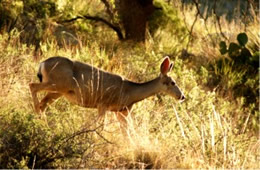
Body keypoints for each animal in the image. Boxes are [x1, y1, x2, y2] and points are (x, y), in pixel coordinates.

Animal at [29, 56, 185, 127]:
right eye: (173, 82)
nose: (182, 96)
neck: (131, 92)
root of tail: (42, 63)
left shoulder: (121, 112)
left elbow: (128, 134)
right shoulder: (103, 104)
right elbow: (99, 126)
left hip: (59, 91)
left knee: (43, 103)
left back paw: (42, 122)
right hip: (58, 84)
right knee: (32, 86)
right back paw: (36, 115)